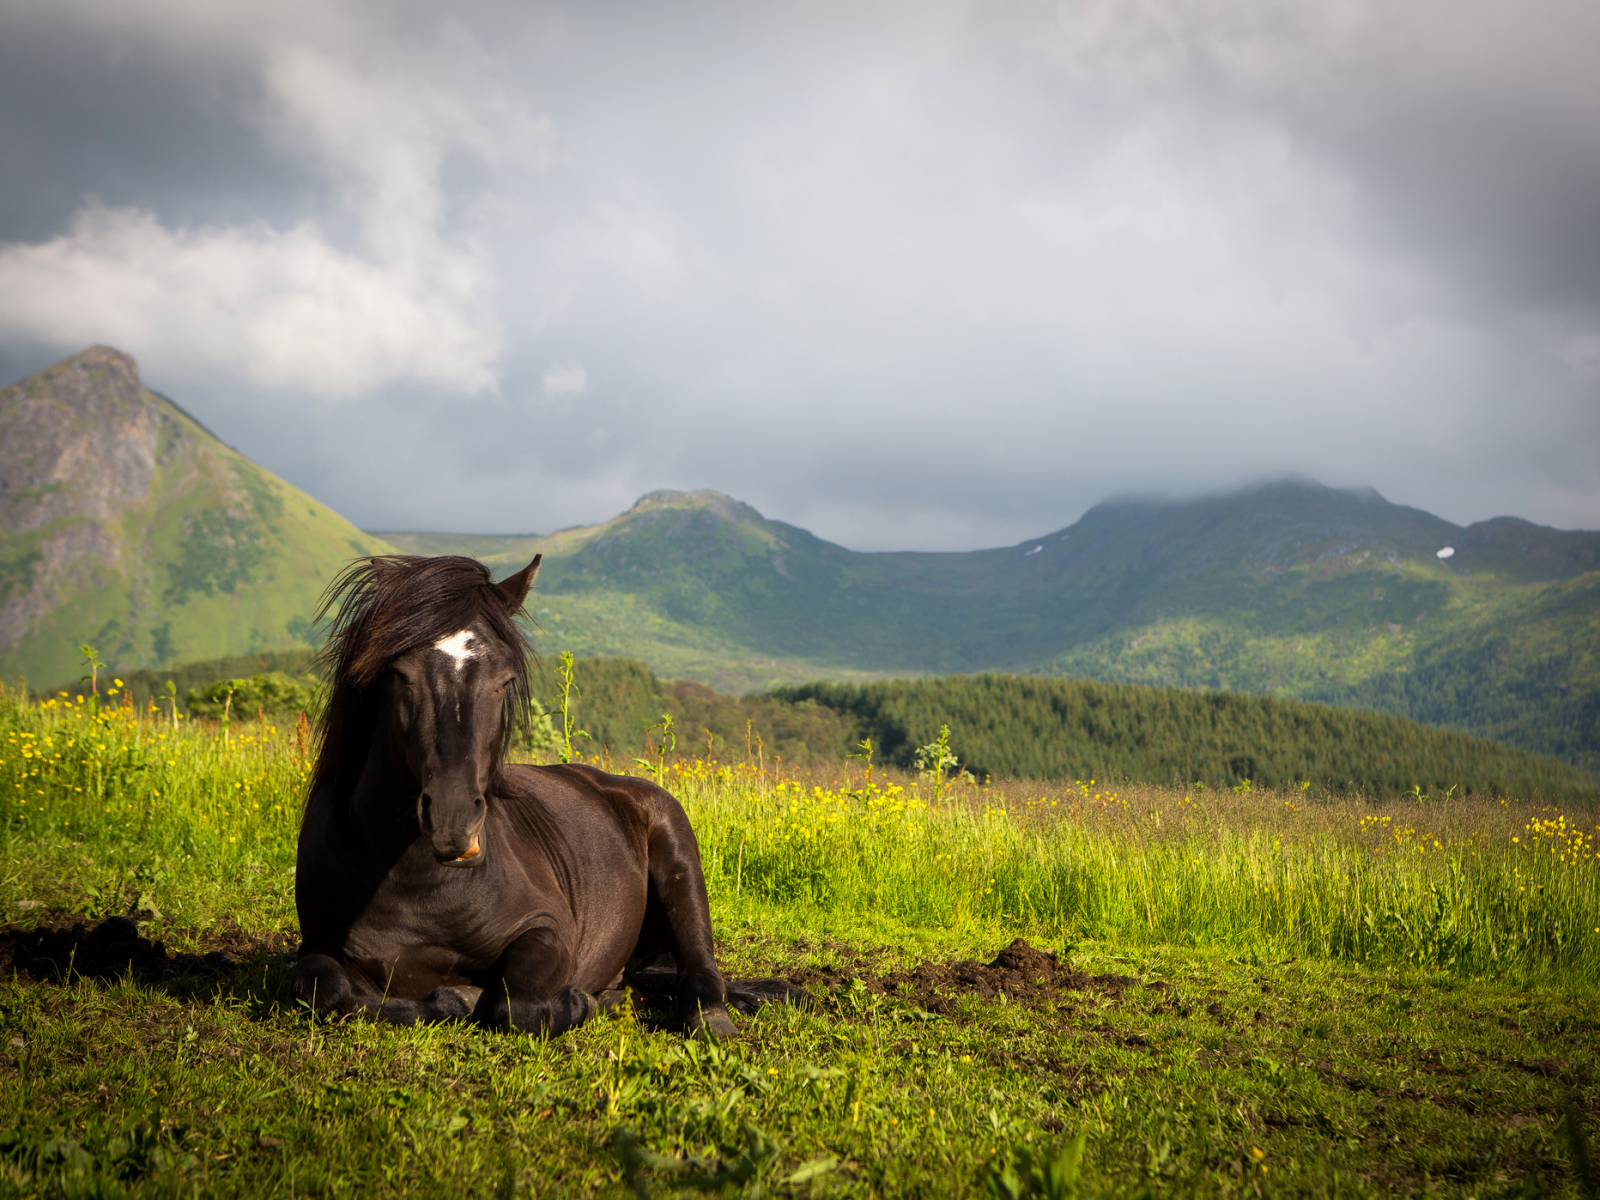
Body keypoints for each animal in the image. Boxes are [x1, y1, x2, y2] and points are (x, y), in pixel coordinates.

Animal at [292, 560, 742, 1036]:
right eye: (400, 674)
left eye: (504, 681)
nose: (453, 819)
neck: (414, 883)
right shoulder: (318, 942)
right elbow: (326, 990)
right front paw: (451, 998)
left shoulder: (546, 927)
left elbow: (518, 1004)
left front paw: (573, 1002)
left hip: (680, 865)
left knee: (699, 968)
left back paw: (707, 1018)